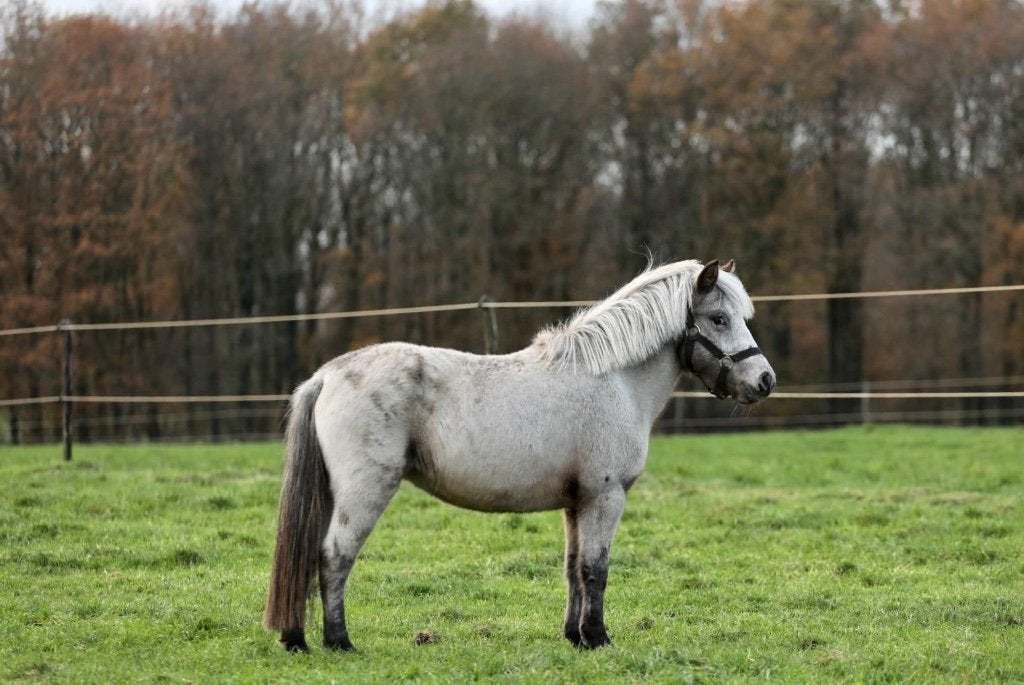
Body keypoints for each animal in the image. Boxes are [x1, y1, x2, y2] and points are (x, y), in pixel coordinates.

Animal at [263, 258, 776, 653]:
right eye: (719, 319)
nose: (765, 380)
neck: (612, 380)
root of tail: (327, 375)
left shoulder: (576, 503)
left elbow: (573, 569)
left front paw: (575, 637)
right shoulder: (605, 498)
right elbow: (596, 569)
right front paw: (598, 637)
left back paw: (296, 639)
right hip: (364, 492)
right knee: (334, 557)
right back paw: (338, 642)